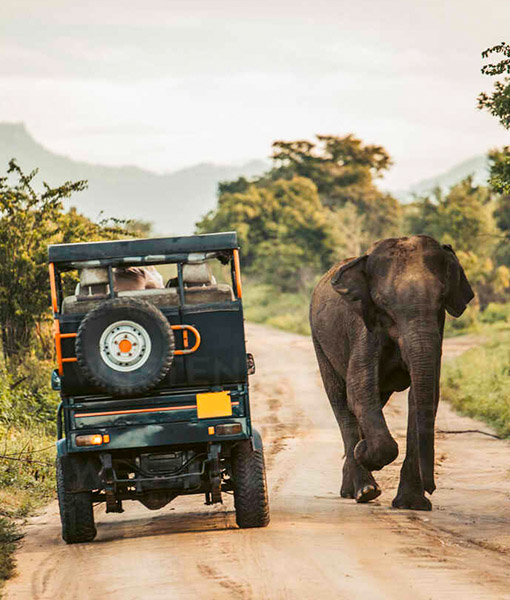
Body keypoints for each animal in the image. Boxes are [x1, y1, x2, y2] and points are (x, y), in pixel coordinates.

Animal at [310, 236, 474, 510]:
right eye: (384, 303)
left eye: (441, 299)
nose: (432, 488)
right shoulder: (363, 327)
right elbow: (358, 390)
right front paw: (363, 452)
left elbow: (423, 396)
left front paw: (412, 505)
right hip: (320, 343)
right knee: (341, 401)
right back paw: (364, 489)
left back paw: (354, 485)